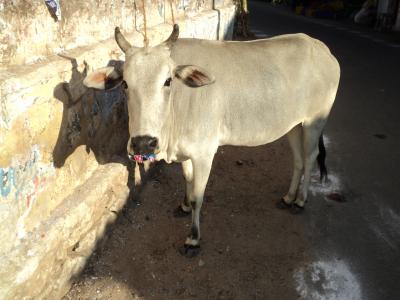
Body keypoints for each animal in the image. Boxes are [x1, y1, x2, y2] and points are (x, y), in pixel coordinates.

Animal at [83, 24, 340, 256]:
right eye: (125, 83)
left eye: (167, 81)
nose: (143, 143)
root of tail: (322, 49)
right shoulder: (187, 153)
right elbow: (188, 181)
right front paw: (184, 205)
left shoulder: (204, 154)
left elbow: (199, 197)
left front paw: (193, 238)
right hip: (293, 126)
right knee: (298, 160)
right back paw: (287, 198)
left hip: (314, 122)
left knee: (310, 158)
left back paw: (300, 201)